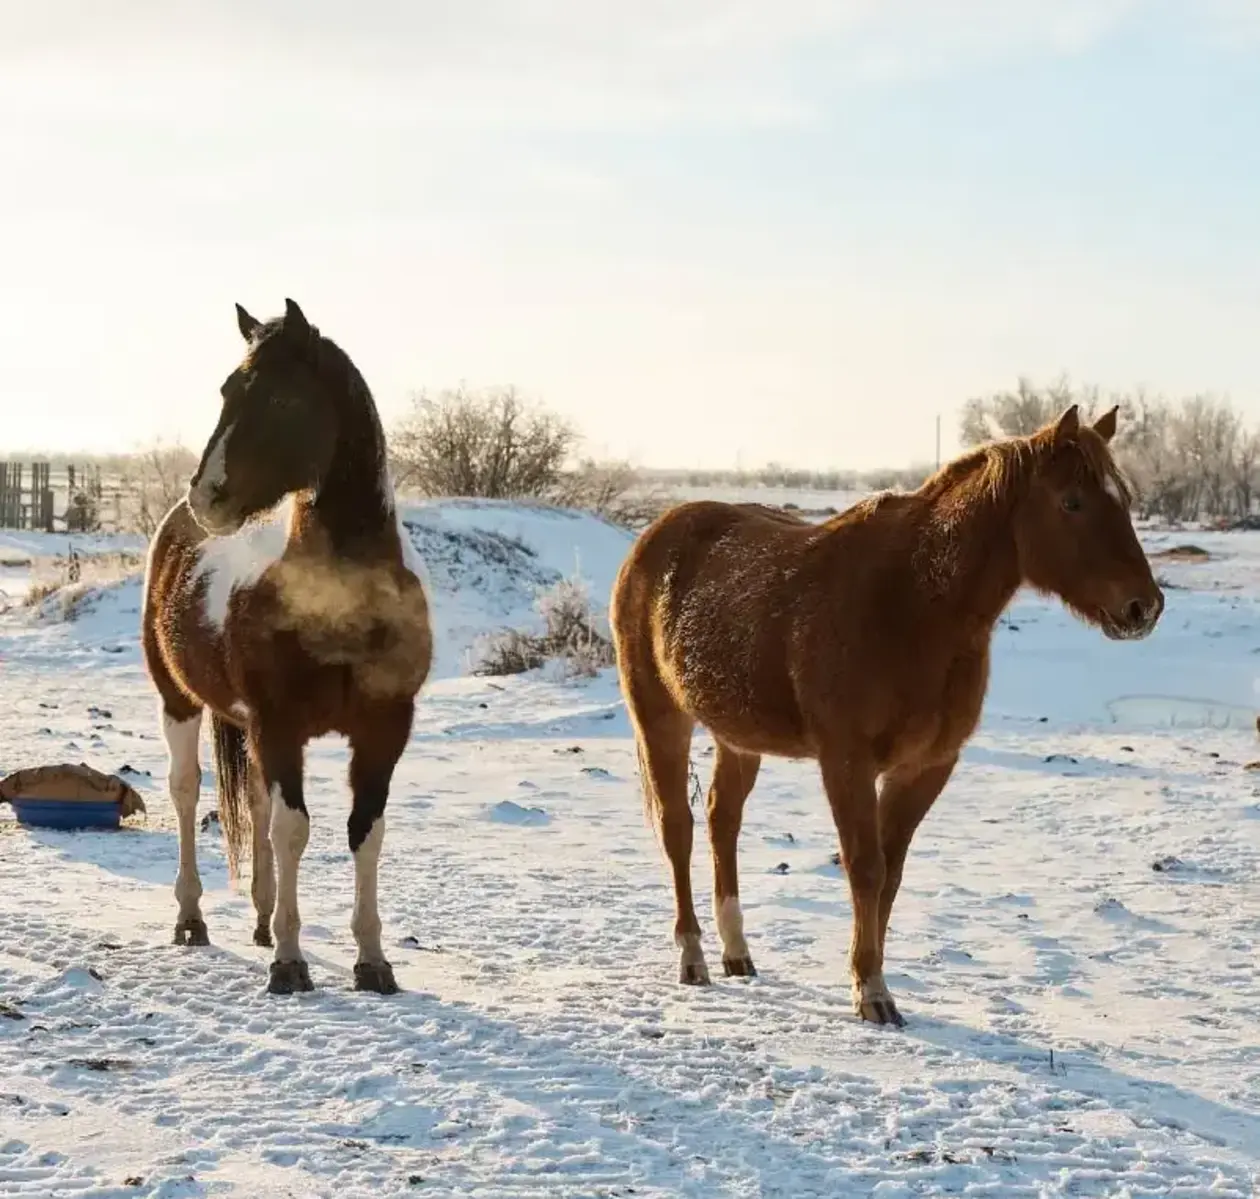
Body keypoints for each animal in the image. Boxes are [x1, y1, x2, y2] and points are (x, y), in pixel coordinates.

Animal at [141, 298, 432, 996]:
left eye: (279, 400)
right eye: (226, 390)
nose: (206, 496)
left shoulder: (384, 729)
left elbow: (364, 832)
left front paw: (372, 961)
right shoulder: (281, 725)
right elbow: (293, 829)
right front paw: (290, 963)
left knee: (251, 802)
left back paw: (262, 918)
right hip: (180, 703)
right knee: (187, 792)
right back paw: (192, 919)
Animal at [610, 404, 1163, 1026]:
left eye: (1125, 498)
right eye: (1072, 502)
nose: (1144, 607)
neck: (912, 604)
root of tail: (654, 537)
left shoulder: (926, 767)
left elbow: (891, 873)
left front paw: (872, 980)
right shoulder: (846, 761)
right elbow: (865, 866)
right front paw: (871, 993)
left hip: (739, 736)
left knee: (721, 820)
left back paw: (737, 953)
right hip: (660, 717)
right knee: (677, 828)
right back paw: (693, 959)